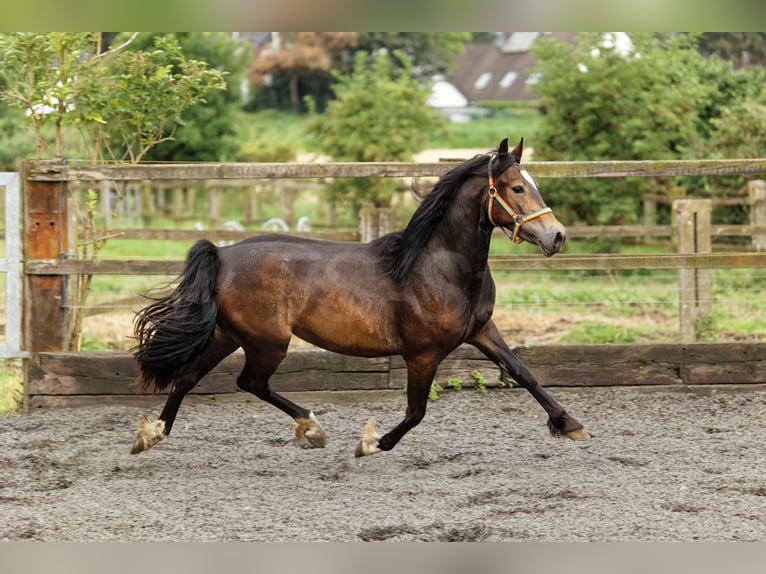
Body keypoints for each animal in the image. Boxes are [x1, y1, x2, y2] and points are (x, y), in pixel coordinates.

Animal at [130, 138, 588, 460]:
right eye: (516, 188)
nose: (557, 236)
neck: (439, 266)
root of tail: (222, 254)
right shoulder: (422, 354)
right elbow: (416, 412)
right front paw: (370, 444)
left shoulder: (482, 331)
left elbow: (524, 373)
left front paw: (571, 424)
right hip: (267, 342)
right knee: (250, 382)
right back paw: (313, 429)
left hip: (229, 335)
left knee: (188, 377)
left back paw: (151, 435)